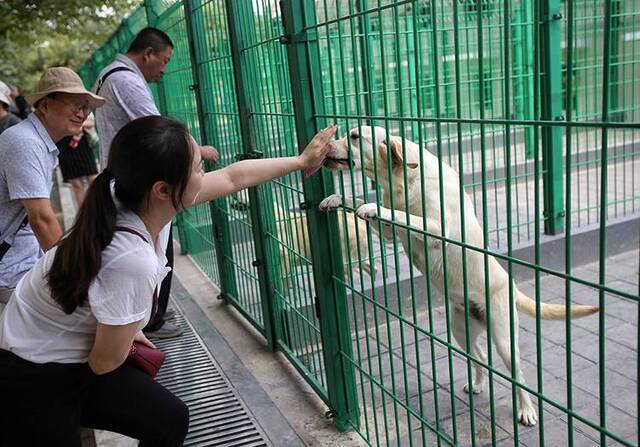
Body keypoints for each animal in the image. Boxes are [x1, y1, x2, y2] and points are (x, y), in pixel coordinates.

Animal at [320, 126, 600, 428]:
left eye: (354, 136)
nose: (325, 146)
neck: (402, 179)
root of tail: (511, 286)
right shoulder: (391, 235)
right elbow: (361, 202)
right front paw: (337, 198)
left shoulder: (435, 229)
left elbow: (401, 214)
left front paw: (373, 207)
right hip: (461, 331)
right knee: (481, 357)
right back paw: (477, 384)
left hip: (505, 340)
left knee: (519, 376)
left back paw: (526, 410)